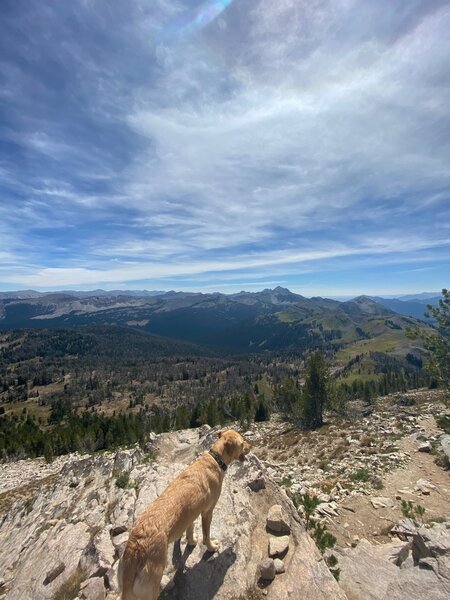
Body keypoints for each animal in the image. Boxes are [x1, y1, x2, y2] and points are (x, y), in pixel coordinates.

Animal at [118, 428, 251, 596]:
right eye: (242, 442)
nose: (251, 446)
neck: (215, 459)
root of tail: (135, 548)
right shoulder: (207, 512)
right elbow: (206, 535)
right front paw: (211, 547)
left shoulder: (191, 512)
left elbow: (190, 528)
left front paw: (191, 540)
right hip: (150, 585)